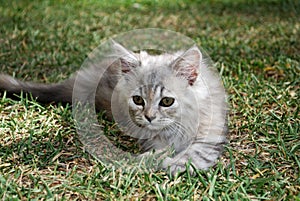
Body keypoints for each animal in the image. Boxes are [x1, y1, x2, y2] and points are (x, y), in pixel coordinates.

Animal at [0, 42, 227, 174]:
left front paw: (175, 164)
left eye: (166, 102)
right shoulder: (153, 139)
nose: (149, 117)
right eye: (138, 100)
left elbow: (194, 152)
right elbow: (160, 150)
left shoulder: (209, 134)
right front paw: (149, 160)